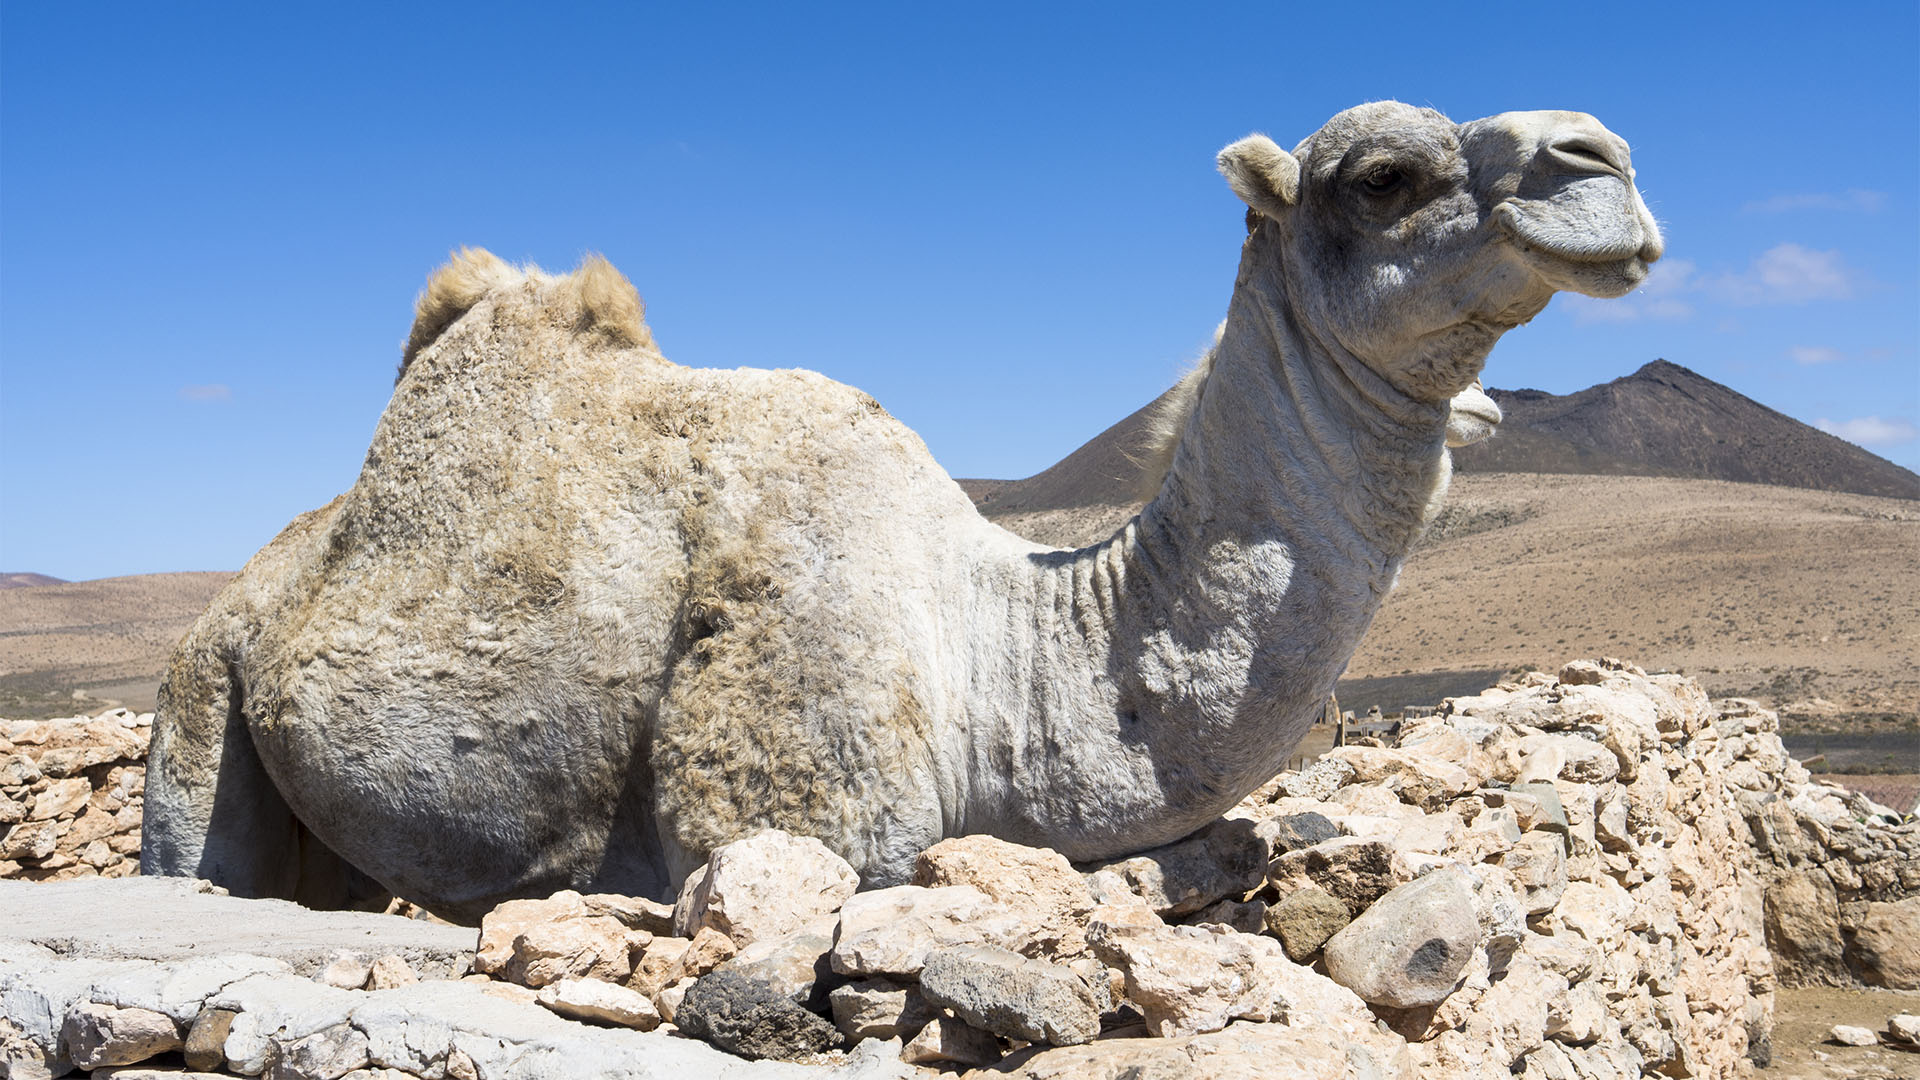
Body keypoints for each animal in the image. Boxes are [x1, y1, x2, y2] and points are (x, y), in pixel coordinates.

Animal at [142, 102, 1658, 914]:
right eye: (1382, 176)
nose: (1602, 158)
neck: (1008, 652)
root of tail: (252, 588)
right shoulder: (810, 819)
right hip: (199, 697)